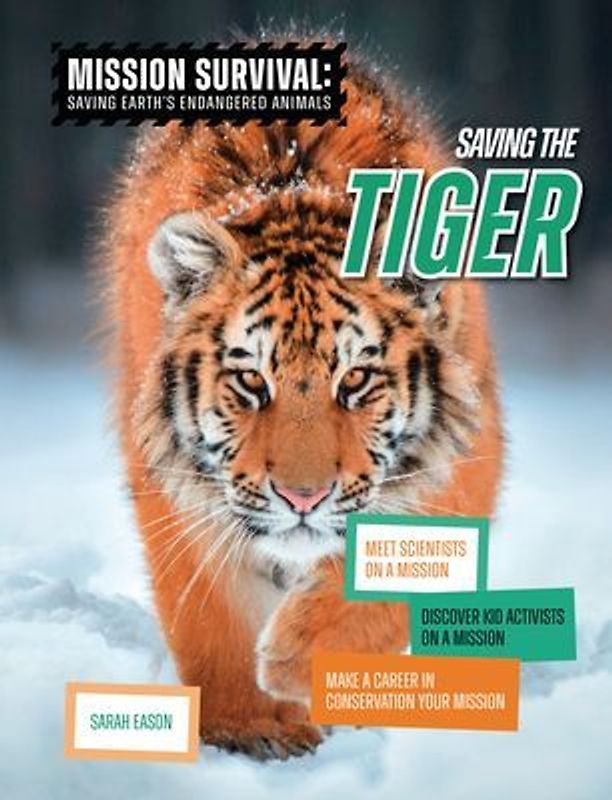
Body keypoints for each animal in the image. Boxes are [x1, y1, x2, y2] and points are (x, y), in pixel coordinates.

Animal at [103, 40, 503, 760]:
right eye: (251, 381)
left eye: (356, 381)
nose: (302, 499)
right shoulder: (178, 489)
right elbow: (216, 619)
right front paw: (251, 727)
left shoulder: (462, 462)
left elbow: (379, 587)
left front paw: (299, 663)